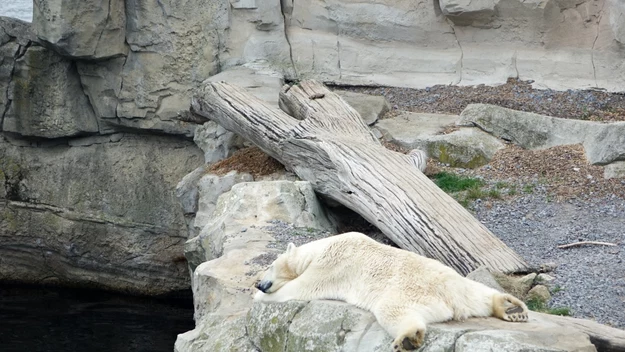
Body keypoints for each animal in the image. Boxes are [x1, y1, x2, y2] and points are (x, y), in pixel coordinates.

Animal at [254, 232, 528, 350]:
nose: (259, 283)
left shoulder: (331, 264)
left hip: (408, 293)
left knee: (393, 311)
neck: (322, 247)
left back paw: (407, 337)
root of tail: (452, 300)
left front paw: (258, 296)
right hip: (460, 284)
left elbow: (302, 287)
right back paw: (510, 308)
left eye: (269, 266)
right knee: (481, 292)